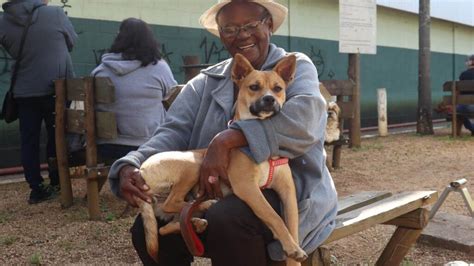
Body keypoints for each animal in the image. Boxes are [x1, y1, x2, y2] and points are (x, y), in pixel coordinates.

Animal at [137, 53, 308, 264]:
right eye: (254, 87)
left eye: (278, 88)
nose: (269, 99)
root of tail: (141, 171)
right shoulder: (247, 187)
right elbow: (273, 216)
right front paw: (291, 246)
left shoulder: (287, 191)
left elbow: (292, 226)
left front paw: (293, 250)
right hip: (194, 164)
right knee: (172, 203)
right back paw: (206, 204)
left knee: (165, 227)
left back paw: (196, 223)